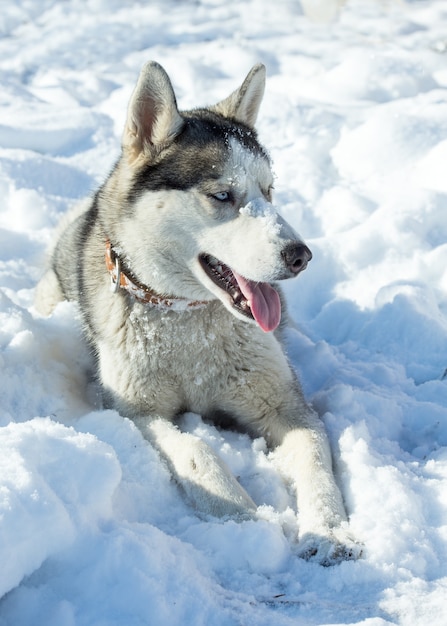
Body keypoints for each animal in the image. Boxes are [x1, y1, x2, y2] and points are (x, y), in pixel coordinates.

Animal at [36, 61, 362, 564]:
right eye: (223, 196)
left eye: (269, 191)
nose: (301, 256)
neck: (188, 321)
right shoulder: (137, 412)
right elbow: (194, 450)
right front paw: (242, 517)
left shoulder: (284, 404)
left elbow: (314, 460)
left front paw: (328, 530)